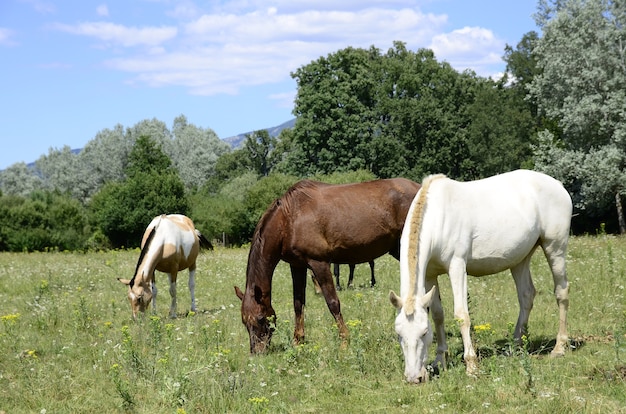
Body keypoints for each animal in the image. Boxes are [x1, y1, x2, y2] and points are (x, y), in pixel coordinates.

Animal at [233, 177, 420, 352]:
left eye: (260, 318)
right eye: (244, 321)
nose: (257, 352)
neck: (289, 220)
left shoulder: (319, 263)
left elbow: (333, 303)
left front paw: (344, 341)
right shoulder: (297, 266)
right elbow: (298, 304)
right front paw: (298, 341)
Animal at [388, 170, 572, 384]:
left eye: (424, 332)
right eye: (399, 334)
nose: (413, 378)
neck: (438, 216)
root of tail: (558, 185)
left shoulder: (457, 266)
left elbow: (462, 316)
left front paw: (471, 366)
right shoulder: (430, 275)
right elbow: (438, 315)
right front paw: (440, 361)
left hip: (555, 247)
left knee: (561, 292)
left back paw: (559, 348)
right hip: (520, 259)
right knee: (526, 295)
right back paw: (515, 346)